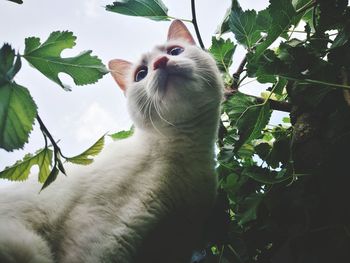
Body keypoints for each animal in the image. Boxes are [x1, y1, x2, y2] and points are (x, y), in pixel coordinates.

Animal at [0, 19, 224, 262]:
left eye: (175, 51)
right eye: (141, 74)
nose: (161, 62)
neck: (186, 155)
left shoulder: (178, 241)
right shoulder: (101, 231)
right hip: (30, 245)